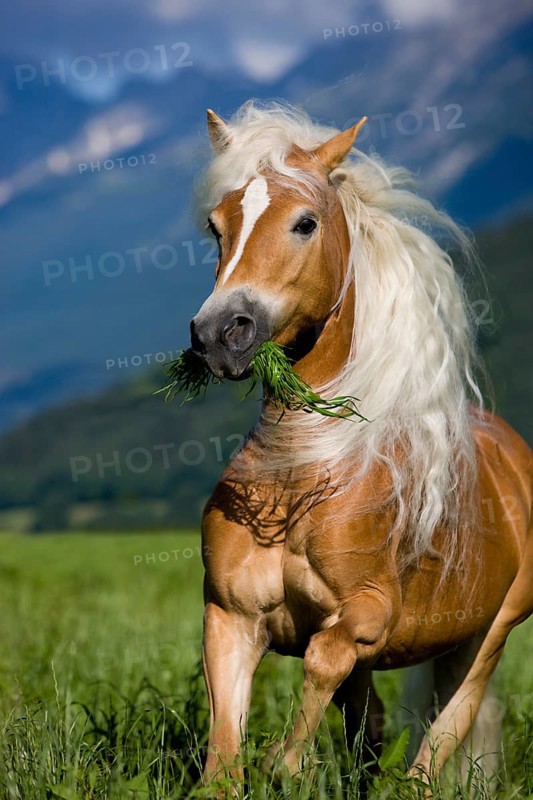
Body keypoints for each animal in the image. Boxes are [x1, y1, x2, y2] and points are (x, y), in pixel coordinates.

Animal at [188, 100, 533, 793]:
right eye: (217, 226)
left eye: (304, 222)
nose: (218, 334)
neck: (301, 475)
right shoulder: (229, 615)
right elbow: (222, 752)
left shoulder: (370, 614)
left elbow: (323, 658)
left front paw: (287, 764)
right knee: (369, 719)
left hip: (488, 637)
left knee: (439, 741)